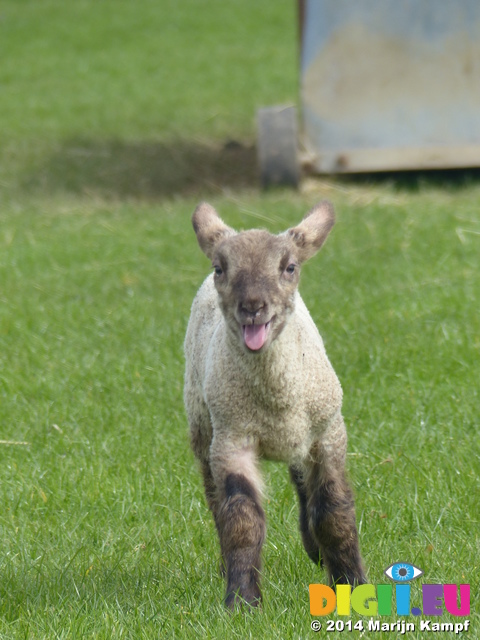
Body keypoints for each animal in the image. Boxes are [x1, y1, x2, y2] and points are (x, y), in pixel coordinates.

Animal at [183, 201, 364, 608]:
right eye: (221, 268)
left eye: (290, 267)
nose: (252, 306)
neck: (277, 398)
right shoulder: (231, 438)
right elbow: (241, 519)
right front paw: (242, 601)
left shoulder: (329, 434)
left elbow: (333, 513)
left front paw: (350, 583)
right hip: (202, 426)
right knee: (216, 501)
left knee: (302, 482)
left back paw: (315, 551)